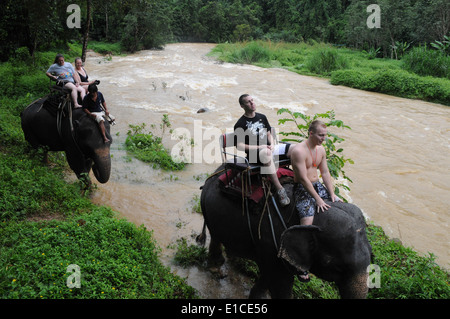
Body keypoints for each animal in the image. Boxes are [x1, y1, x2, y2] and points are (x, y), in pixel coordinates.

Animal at [200, 166, 372, 298]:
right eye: (337, 267)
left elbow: (268, 275)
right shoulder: (271, 239)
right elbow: (279, 281)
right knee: (215, 235)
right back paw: (216, 270)